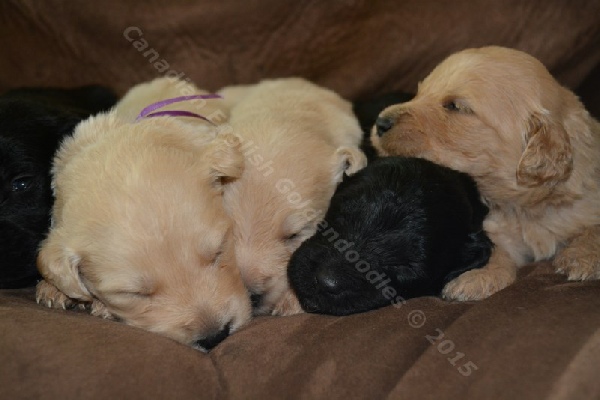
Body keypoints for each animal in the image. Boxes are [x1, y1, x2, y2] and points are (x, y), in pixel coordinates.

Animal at [372, 45, 600, 300]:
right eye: (420, 92)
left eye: (454, 106)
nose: (380, 122)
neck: (525, 209)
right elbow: (493, 247)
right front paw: (476, 277)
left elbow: (595, 229)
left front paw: (583, 257)